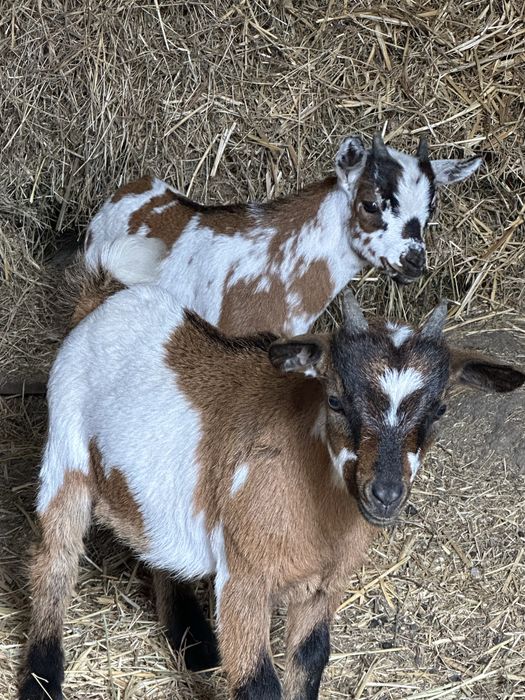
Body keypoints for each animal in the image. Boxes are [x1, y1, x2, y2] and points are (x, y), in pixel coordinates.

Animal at [20, 285, 523, 700]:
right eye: (335, 399)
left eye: (439, 410)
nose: (385, 493)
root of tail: (104, 301)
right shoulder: (244, 577)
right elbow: (257, 683)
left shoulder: (325, 586)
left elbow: (311, 659)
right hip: (65, 451)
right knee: (55, 561)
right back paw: (41, 680)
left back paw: (195, 642)